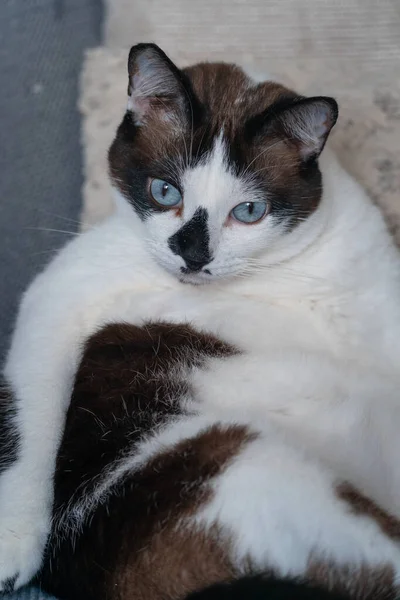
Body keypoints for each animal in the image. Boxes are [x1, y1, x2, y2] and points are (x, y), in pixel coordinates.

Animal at [0, 43, 400, 600]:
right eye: (165, 192)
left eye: (249, 211)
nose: (192, 255)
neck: (279, 272)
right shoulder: (58, 294)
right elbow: (27, 421)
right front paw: (14, 542)